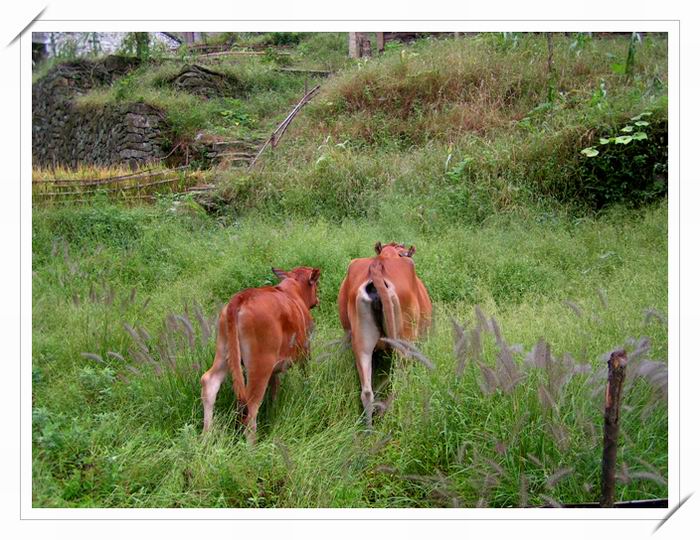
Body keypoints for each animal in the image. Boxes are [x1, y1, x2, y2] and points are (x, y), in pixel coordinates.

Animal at [200, 266, 321, 443]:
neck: (292, 290)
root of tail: (241, 297)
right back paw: (252, 446)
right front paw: (308, 391)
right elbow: (305, 375)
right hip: (260, 364)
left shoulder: (274, 368)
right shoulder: (305, 350)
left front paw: (273, 409)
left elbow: (274, 388)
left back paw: (206, 436)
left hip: (224, 352)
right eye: (316, 284)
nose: (317, 300)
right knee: (251, 408)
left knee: (210, 381)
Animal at [337, 242, 432, 427]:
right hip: (404, 345)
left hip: (361, 344)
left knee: (367, 392)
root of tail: (378, 265)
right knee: (398, 384)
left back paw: (369, 428)